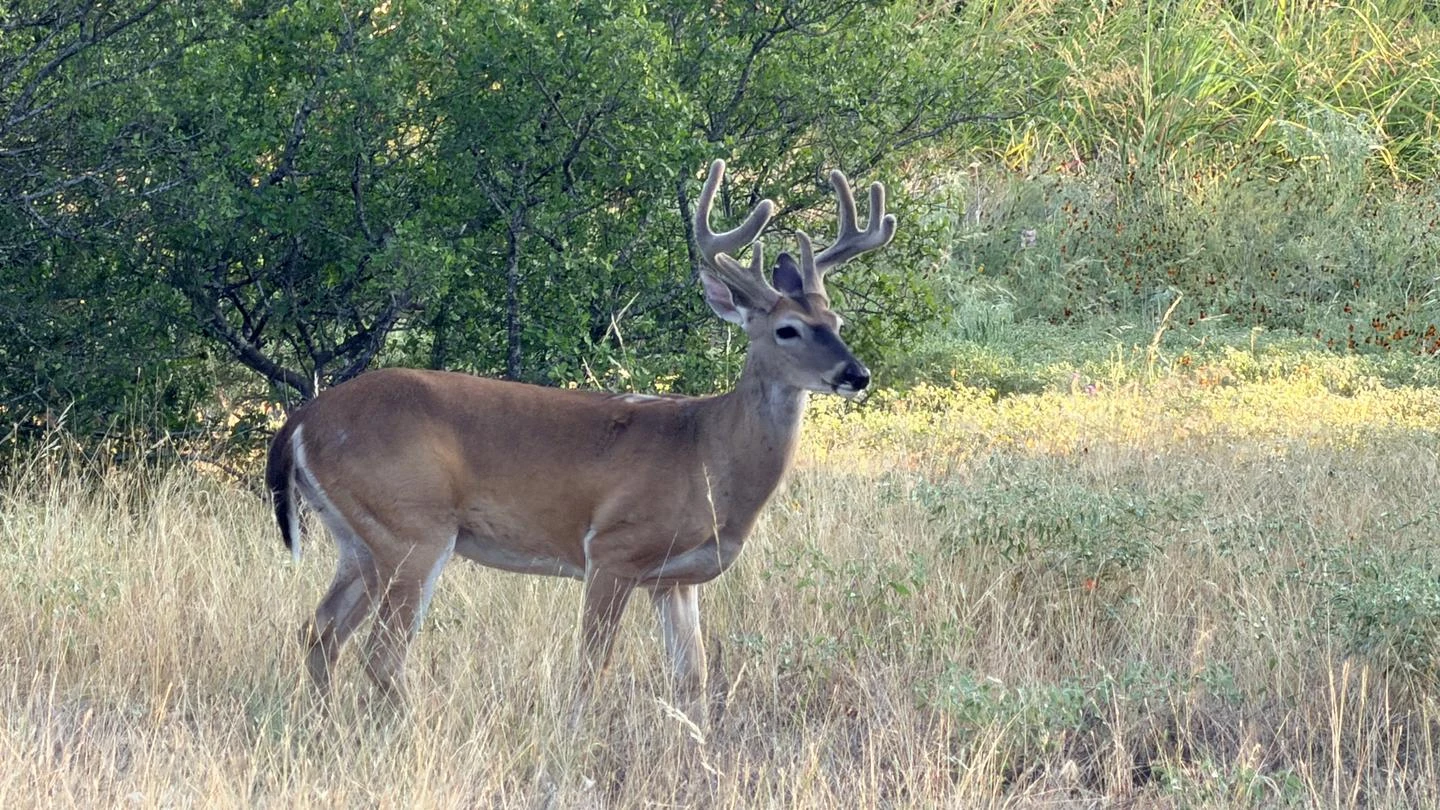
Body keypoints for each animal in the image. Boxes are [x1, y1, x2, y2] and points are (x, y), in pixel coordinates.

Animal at [264, 158, 896, 724]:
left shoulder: (675, 580)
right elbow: (592, 668)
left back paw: (323, 727)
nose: (856, 374)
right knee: (381, 653)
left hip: (360, 540)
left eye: (837, 322)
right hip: (413, 528)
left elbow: (691, 679)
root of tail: (301, 421)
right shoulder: (612, 550)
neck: (707, 454)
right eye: (787, 329)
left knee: (318, 631)